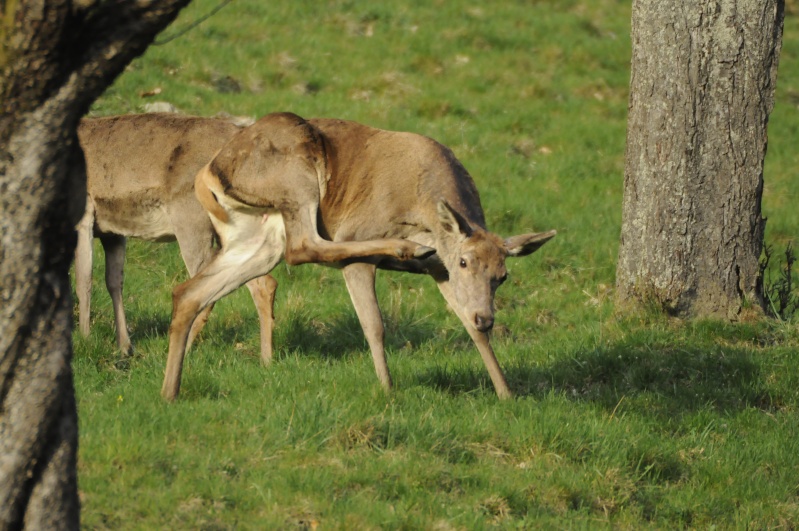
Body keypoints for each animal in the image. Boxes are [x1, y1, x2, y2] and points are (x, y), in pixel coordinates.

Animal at [76, 115, 276, 360]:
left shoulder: (83, 217)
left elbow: (84, 280)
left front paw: (84, 340)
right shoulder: (113, 232)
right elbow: (114, 282)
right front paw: (124, 346)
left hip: (190, 219)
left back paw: (180, 351)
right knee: (264, 281)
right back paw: (267, 358)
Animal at [159, 113, 552, 404]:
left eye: (503, 275)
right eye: (464, 262)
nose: (487, 317)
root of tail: (209, 170)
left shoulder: (438, 271)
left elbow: (471, 331)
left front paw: (505, 393)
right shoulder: (369, 245)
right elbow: (374, 324)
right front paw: (388, 388)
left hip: (255, 236)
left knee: (190, 292)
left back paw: (169, 391)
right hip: (295, 177)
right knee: (303, 245)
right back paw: (402, 247)